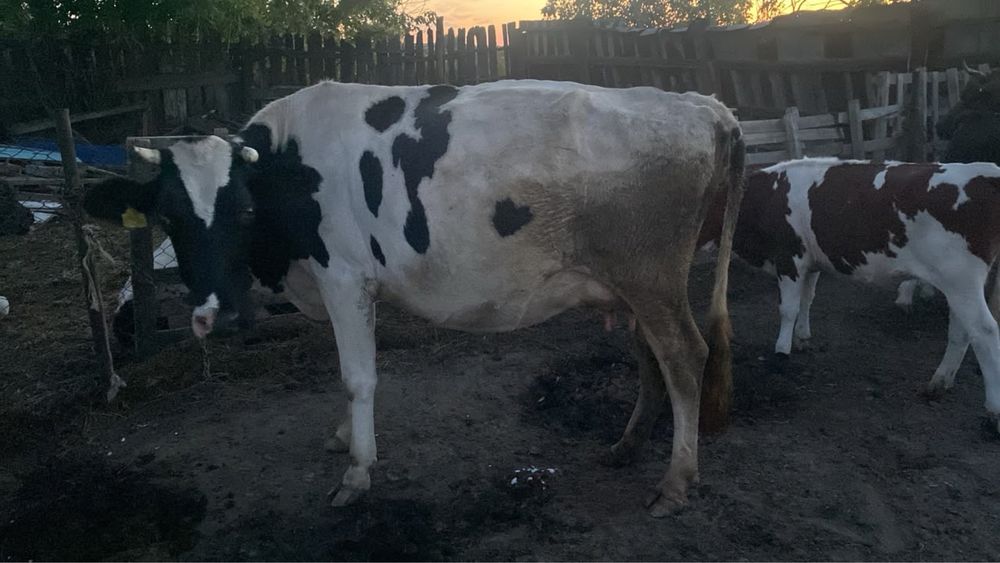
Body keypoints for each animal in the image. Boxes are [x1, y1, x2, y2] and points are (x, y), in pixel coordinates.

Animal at [82, 80, 746, 516]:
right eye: (168, 217)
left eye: (242, 210)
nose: (211, 314)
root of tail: (703, 105)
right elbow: (348, 372)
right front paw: (344, 436)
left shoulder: (344, 276)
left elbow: (357, 377)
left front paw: (357, 470)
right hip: (634, 286)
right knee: (651, 356)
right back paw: (628, 445)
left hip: (652, 279)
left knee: (685, 357)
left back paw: (676, 481)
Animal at [702, 157, 1000, 430]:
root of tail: (986, 171)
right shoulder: (811, 262)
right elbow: (807, 299)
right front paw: (802, 336)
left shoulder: (790, 258)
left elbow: (788, 308)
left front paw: (782, 350)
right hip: (956, 285)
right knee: (962, 332)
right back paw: (939, 383)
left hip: (961, 280)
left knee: (984, 332)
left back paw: (993, 411)